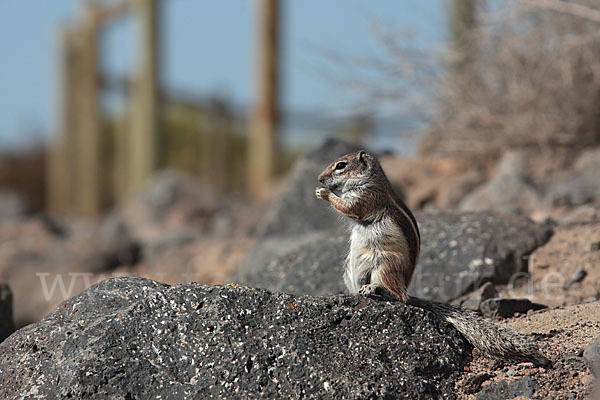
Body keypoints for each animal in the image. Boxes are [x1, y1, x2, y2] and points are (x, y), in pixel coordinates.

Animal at [316, 149, 552, 366]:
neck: (370, 179)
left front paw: (323, 193)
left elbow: (349, 207)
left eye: (340, 165)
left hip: (385, 266)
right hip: (349, 269)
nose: (319, 179)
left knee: (399, 296)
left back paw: (376, 289)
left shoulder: (368, 197)